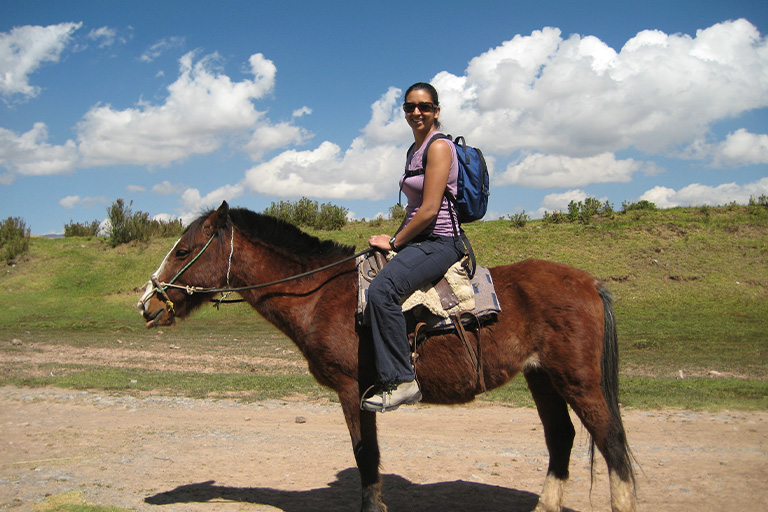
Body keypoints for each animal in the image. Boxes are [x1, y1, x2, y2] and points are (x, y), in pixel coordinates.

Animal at [138, 201, 636, 512]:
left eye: (183, 250)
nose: (147, 303)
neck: (322, 296)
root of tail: (590, 283)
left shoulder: (352, 390)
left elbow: (366, 456)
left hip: (577, 380)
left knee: (611, 442)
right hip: (543, 378)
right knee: (562, 438)